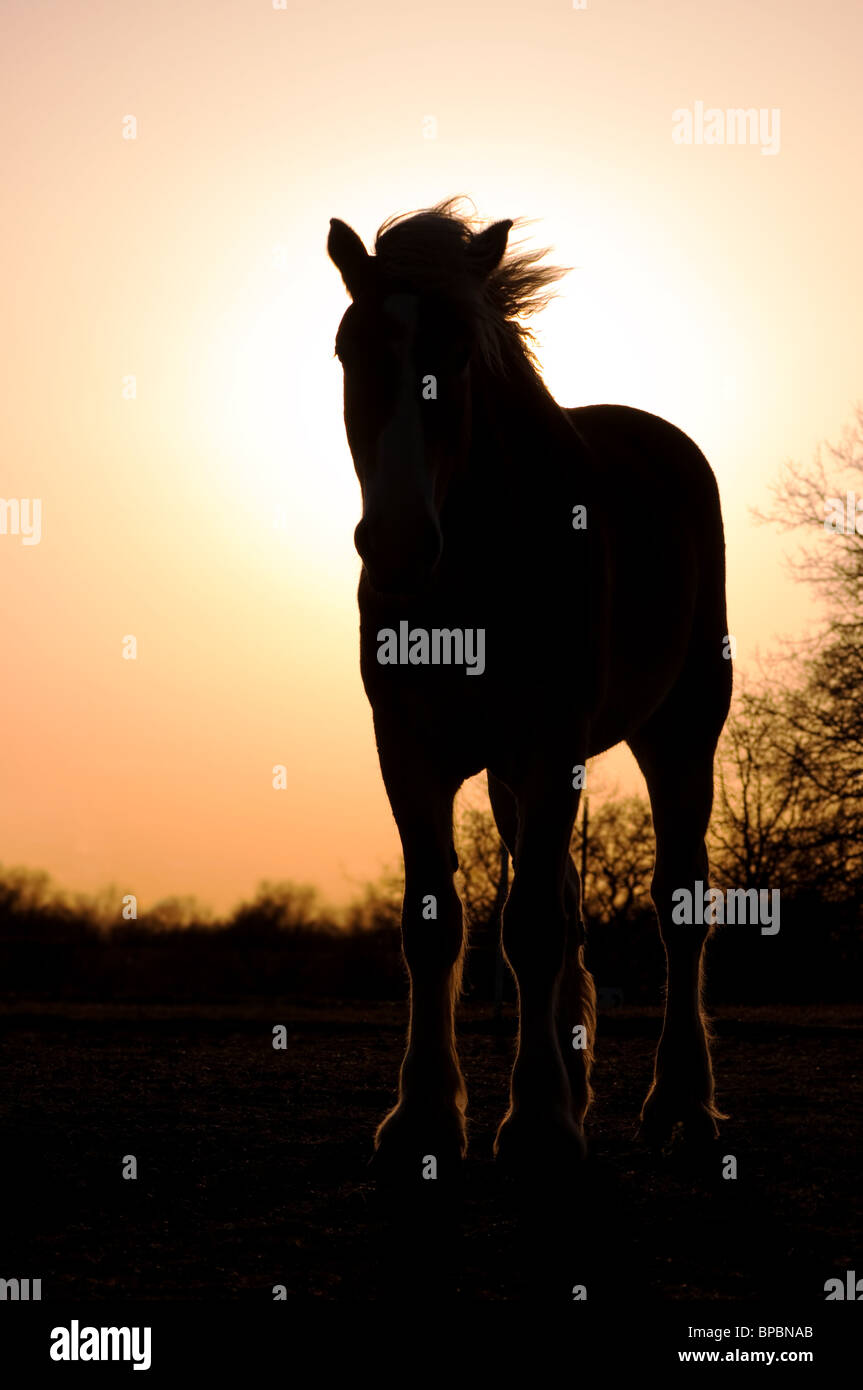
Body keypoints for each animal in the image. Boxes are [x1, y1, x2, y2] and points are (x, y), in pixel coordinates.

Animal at [326, 195, 728, 1173]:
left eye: (460, 359)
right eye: (349, 350)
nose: (398, 545)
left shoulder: (550, 745)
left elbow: (534, 925)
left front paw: (539, 1123)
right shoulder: (411, 748)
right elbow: (435, 921)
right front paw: (423, 1118)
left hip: (681, 733)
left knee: (677, 907)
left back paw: (680, 1102)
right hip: (512, 777)